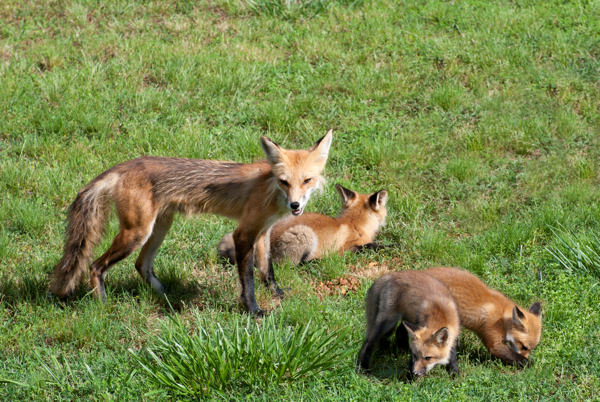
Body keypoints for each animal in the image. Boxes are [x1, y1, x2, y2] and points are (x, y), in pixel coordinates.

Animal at [50, 131, 332, 314]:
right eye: (285, 181)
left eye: (306, 180)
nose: (295, 206)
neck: (269, 188)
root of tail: (123, 166)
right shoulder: (243, 234)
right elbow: (249, 279)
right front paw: (253, 310)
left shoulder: (262, 231)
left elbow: (267, 271)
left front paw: (277, 294)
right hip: (136, 233)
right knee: (96, 266)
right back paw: (103, 305)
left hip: (160, 228)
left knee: (142, 265)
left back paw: (168, 296)